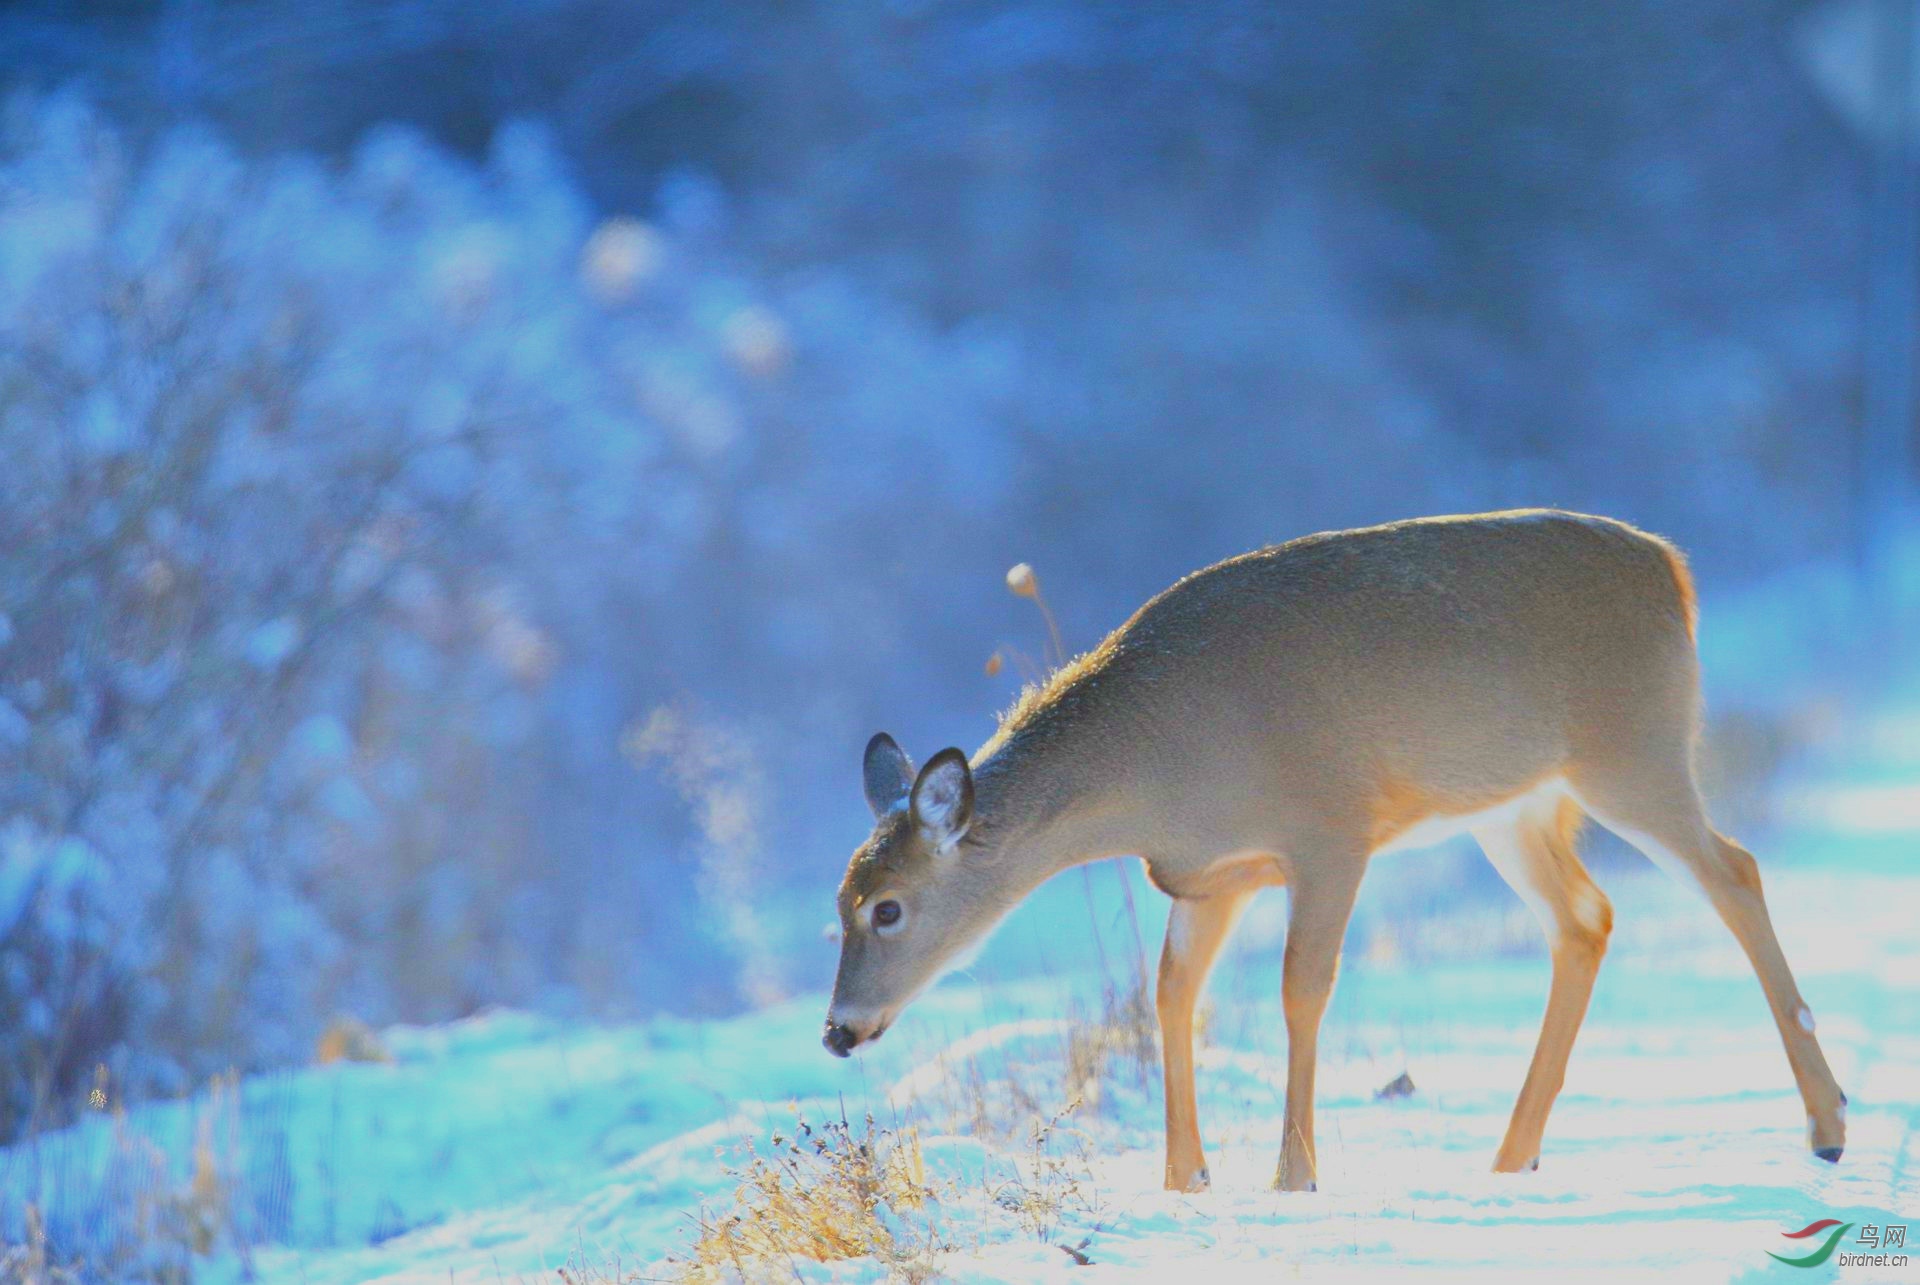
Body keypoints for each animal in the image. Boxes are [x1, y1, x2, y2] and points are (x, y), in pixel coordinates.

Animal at [821, 510, 1843, 1190]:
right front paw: (1184, 1179)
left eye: (889, 906)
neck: (1157, 766)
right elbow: (1172, 993)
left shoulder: (1329, 830)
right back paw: (1513, 1153)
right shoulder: (1208, 876)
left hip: (1634, 750)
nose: (838, 1030)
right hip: (1511, 807)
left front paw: (1293, 1175)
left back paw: (1827, 1125)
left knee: (1733, 870)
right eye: (840, 903)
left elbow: (1300, 988)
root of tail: (1672, 568)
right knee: (1586, 916)